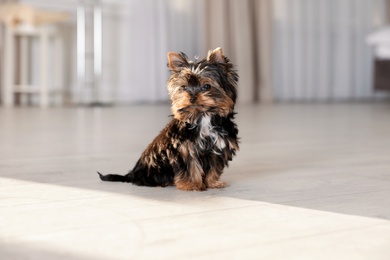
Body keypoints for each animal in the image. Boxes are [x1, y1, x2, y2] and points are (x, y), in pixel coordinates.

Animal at [97, 47, 238, 191]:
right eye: (184, 87)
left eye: (207, 86)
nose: (192, 97)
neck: (202, 116)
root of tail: (132, 173)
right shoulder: (185, 149)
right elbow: (191, 167)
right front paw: (192, 184)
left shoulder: (218, 146)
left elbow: (214, 167)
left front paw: (213, 183)